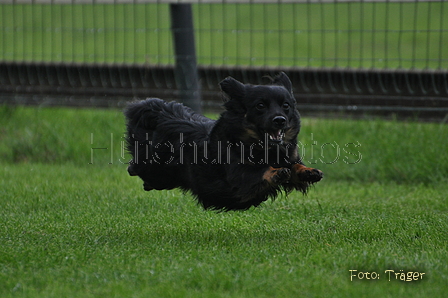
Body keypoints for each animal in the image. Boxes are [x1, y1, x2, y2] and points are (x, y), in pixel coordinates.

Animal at [124, 72, 324, 211]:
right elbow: (259, 172)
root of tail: (154, 109)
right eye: (260, 106)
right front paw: (276, 172)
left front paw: (308, 171)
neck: (264, 148)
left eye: (286, 105)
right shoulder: (238, 176)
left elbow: (294, 166)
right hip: (155, 169)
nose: (280, 120)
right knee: (134, 168)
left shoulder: (289, 158)